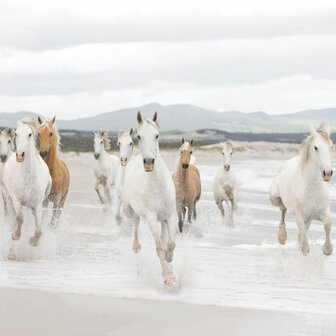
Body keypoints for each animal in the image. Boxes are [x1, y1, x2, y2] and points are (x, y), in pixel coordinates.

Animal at [2, 118, 51, 247]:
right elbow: (19, 218)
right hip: (7, 197)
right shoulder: (16, 200)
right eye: (16, 134)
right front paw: (16, 235)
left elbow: (39, 230)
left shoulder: (38, 205)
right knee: (12, 216)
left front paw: (33, 241)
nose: (19, 155)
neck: (29, 177)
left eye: (29, 134)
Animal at [122, 112, 176, 284]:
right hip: (129, 210)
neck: (158, 186)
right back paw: (136, 246)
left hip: (163, 219)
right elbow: (159, 248)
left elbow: (170, 244)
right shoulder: (151, 217)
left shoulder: (170, 216)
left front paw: (170, 265)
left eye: (157, 135)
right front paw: (167, 278)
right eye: (138, 136)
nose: (148, 162)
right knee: (136, 221)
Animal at [270, 124, 334, 256]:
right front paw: (305, 249)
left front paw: (327, 249)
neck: (312, 189)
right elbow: (302, 233)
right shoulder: (300, 216)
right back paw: (282, 237)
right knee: (282, 209)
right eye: (316, 147)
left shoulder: (322, 212)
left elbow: (328, 223)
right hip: (274, 198)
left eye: (331, 147)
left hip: (309, 219)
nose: (327, 173)